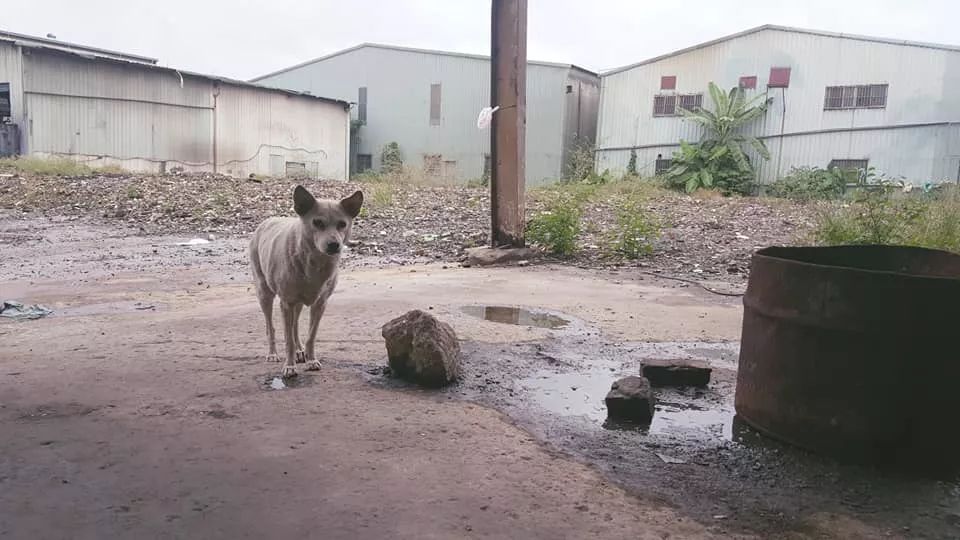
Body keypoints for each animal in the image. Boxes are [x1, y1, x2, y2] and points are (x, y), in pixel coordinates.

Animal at [248, 188, 364, 378]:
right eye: (317, 222)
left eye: (342, 224)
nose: (334, 245)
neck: (315, 263)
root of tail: (268, 220)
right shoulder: (286, 303)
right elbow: (287, 339)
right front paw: (289, 366)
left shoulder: (320, 304)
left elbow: (311, 335)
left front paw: (311, 360)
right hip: (264, 293)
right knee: (270, 326)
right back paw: (273, 354)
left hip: (299, 303)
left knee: (295, 325)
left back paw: (299, 351)